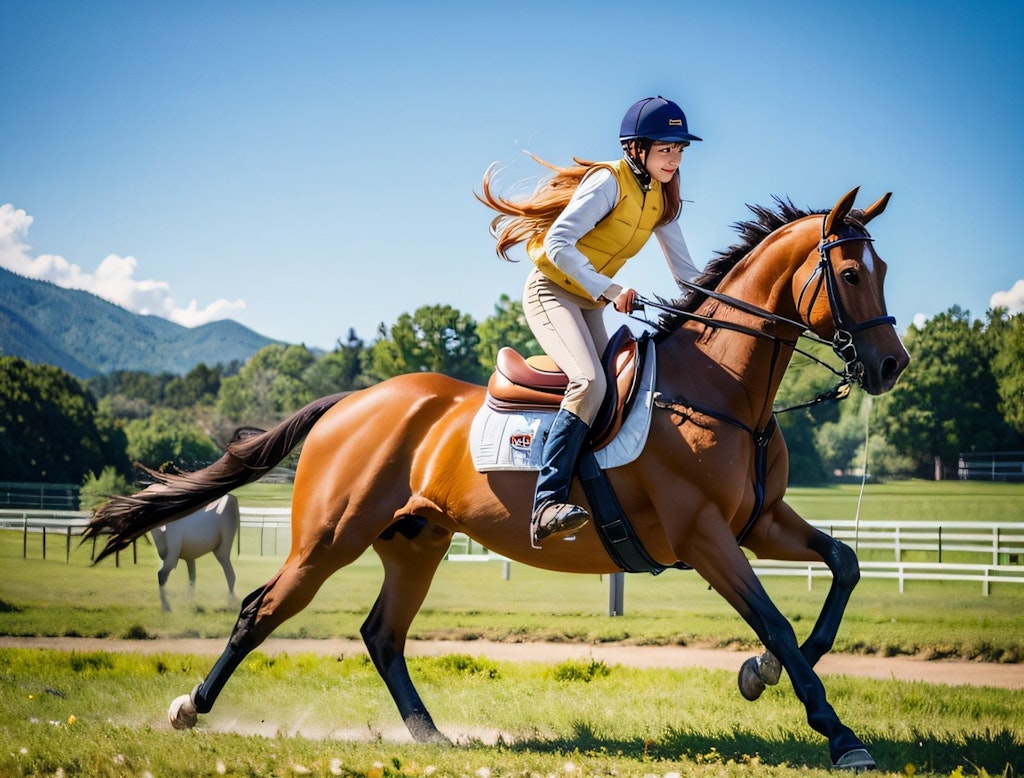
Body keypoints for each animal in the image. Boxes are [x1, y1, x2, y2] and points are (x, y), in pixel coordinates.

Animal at [86, 188, 905, 773]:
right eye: (852, 273)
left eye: (885, 270)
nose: (892, 365)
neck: (723, 392)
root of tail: (349, 402)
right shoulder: (705, 535)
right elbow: (774, 619)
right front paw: (838, 734)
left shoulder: (758, 523)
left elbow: (842, 568)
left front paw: (759, 672)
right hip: (329, 537)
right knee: (260, 610)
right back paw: (190, 708)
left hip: (415, 540)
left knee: (382, 634)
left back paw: (428, 736)